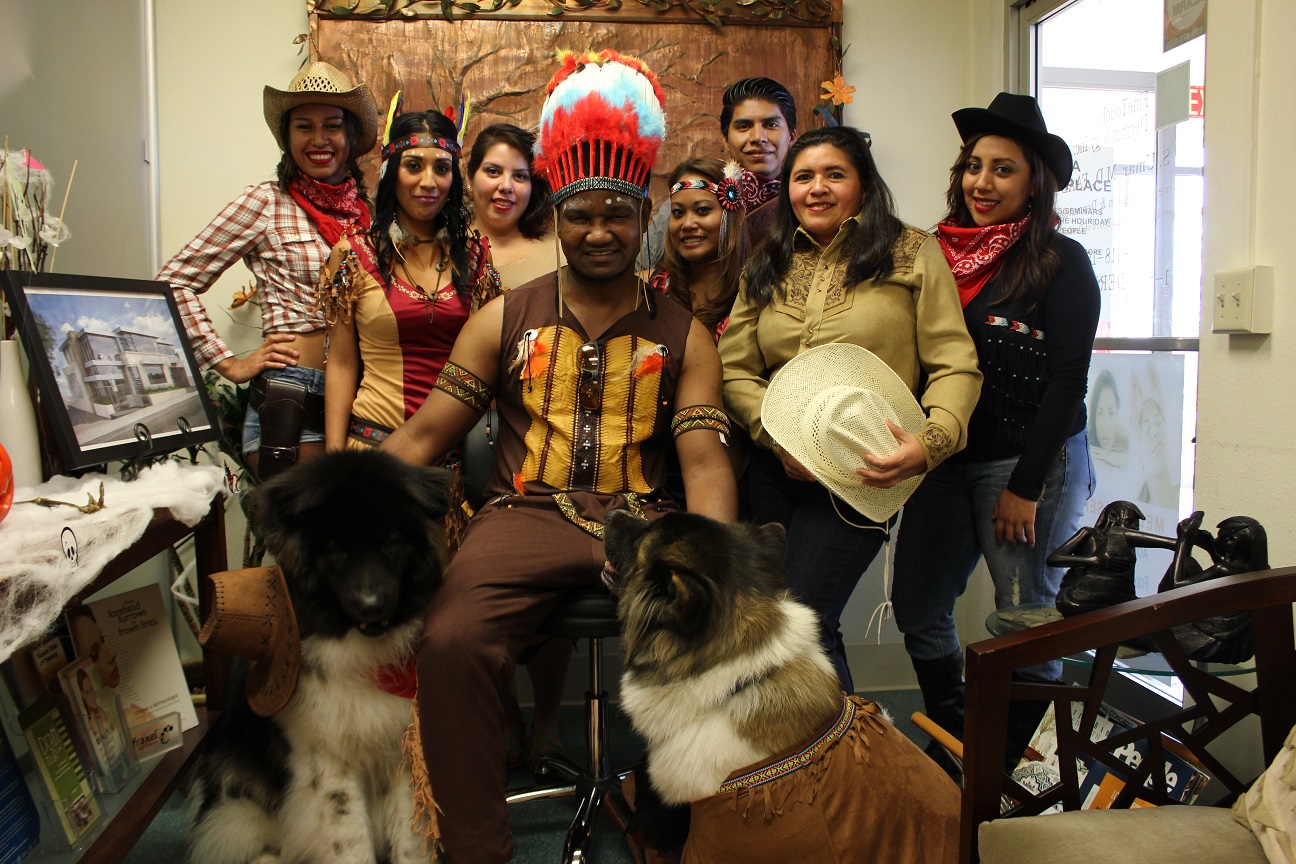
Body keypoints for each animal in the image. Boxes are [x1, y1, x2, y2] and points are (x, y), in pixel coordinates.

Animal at [187, 450, 451, 864]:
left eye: (392, 542)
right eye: (335, 548)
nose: (371, 606)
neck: (362, 654)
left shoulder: (403, 753)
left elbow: (410, 839)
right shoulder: (325, 762)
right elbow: (349, 842)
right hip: (238, 802)